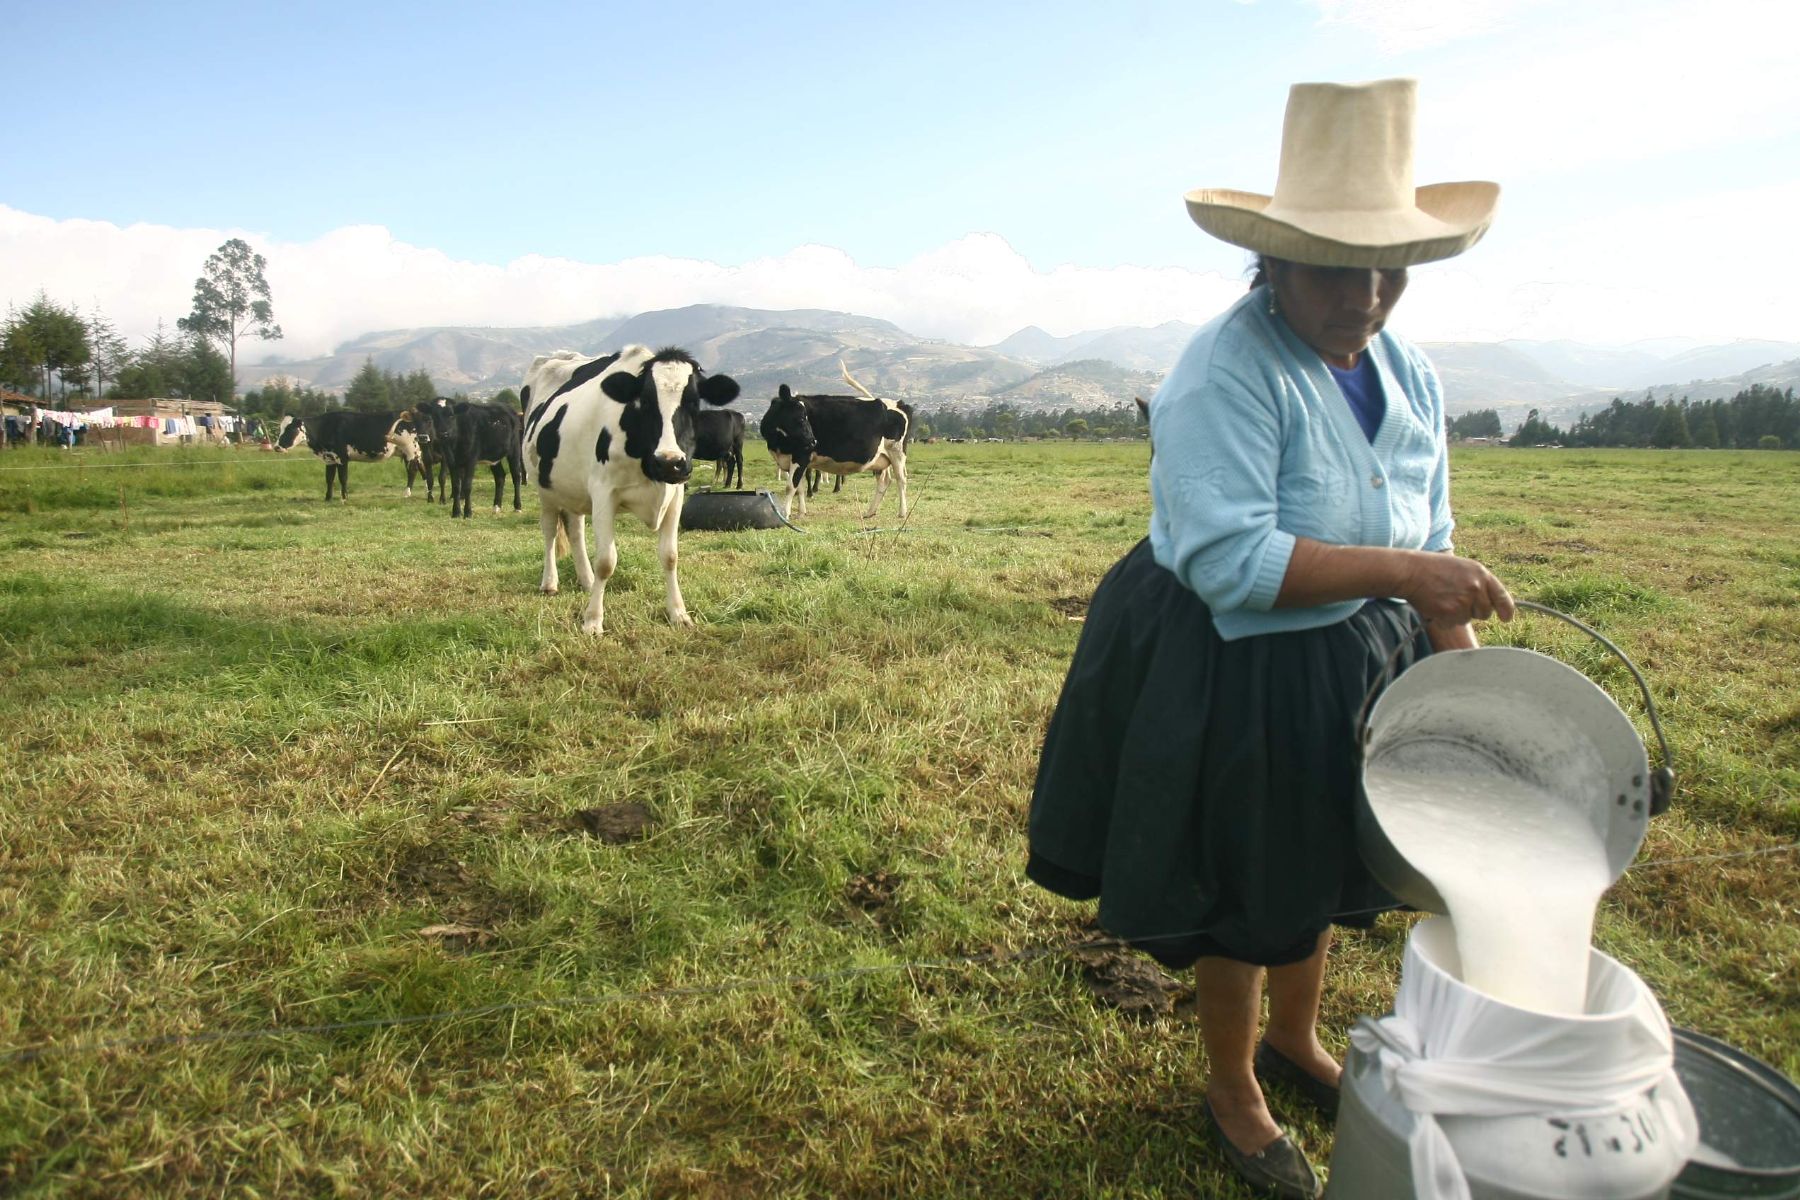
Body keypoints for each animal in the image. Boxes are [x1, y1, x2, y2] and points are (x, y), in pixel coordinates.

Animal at [275, 410, 419, 500]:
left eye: (290, 428)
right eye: (280, 428)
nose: (276, 447)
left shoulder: (342, 457)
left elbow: (343, 478)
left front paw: (344, 497)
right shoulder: (330, 458)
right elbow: (329, 479)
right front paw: (328, 498)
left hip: (411, 450)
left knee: (412, 471)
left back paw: (407, 493)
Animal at [522, 341, 738, 633]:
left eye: (694, 403)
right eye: (644, 401)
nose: (669, 462)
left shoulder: (676, 493)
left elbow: (670, 556)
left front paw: (678, 614)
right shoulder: (603, 492)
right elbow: (606, 561)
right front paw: (593, 620)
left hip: (573, 489)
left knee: (575, 530)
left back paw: (586, 580)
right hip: (545, 488)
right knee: (549, 531)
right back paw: (550, 583)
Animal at [756, 368, 907, 518]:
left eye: (805, 417)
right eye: (801, 418)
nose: (813, 441)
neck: (778, 445)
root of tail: (898, 403)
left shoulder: (802, 455)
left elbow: (791, 487)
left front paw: (786, 514)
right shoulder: (791, 459)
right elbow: (799, 487)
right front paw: (801, 512)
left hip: (897, 453)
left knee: (901, 480)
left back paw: (902, 512)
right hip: (881, 457)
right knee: (884, 481)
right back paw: (870, 512)